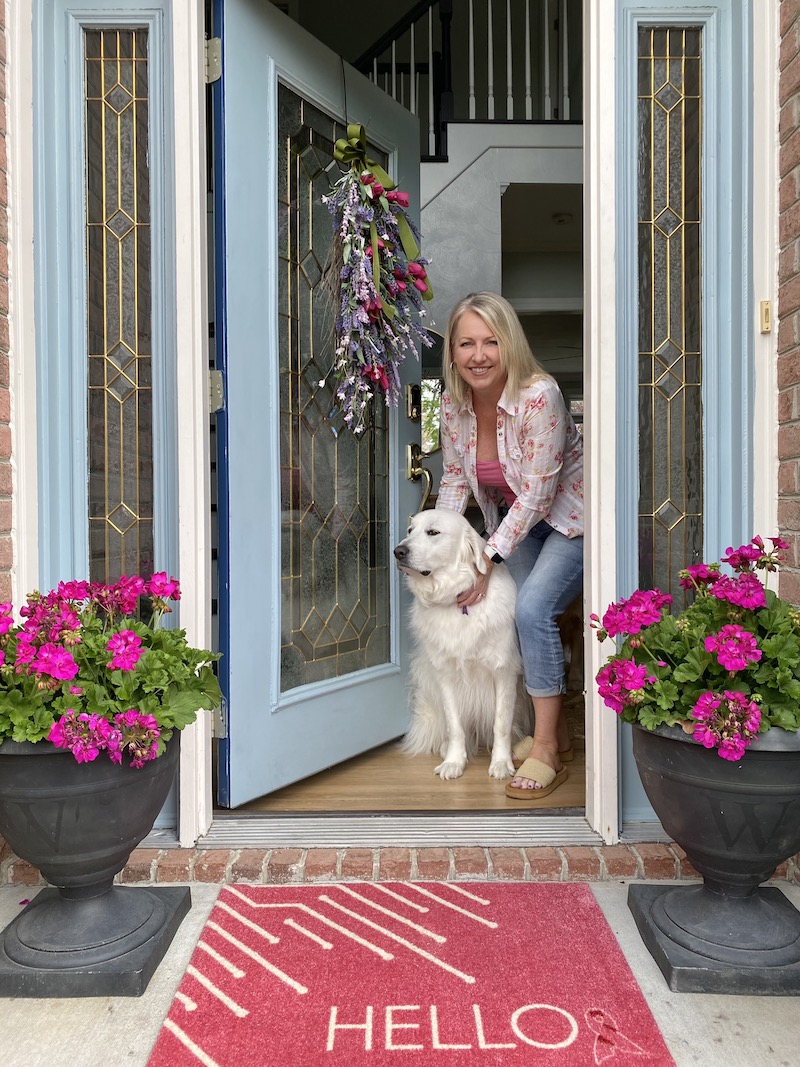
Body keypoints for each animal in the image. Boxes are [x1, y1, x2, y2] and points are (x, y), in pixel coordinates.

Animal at [392, 507, 526, 776]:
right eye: (410, 531)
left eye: (433, 532)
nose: (398, 551)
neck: (454, 597)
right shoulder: (444, 673)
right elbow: (454, 725)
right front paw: (454, 762)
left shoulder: (504, 670)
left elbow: (501, 724)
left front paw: (501, 763)